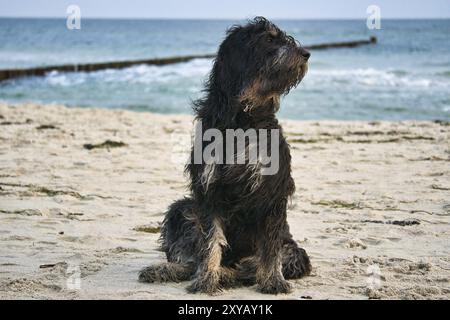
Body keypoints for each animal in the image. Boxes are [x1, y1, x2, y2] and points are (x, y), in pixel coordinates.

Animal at [139, 16, 312, 294]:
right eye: (269, 39)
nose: (306, 53)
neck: (243, 119)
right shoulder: (209, 191)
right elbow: (210, 243)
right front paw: (207, 279)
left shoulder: (272, 192)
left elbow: (270, 248)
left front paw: (273, 281)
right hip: (183, 208)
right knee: (193, 260)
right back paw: (168, 269)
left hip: (294, 251)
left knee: (254, 264)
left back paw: (231, 273)